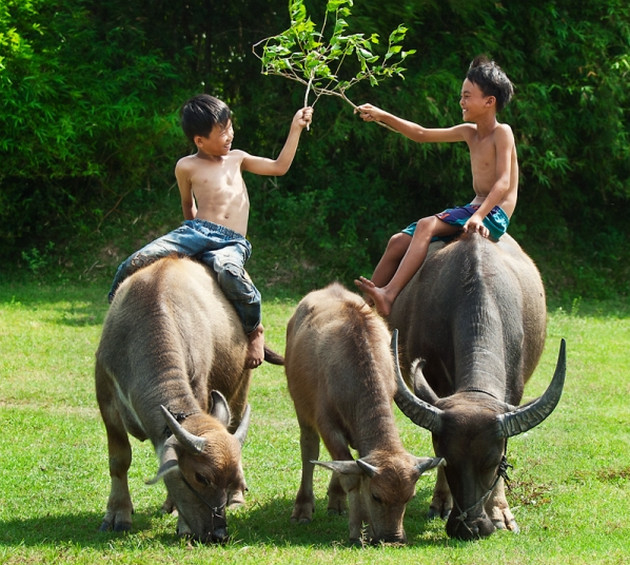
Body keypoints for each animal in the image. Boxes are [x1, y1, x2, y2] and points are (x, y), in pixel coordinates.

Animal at [94, 254, 276, 540]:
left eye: (233, 478)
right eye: (200, 477)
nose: (218, 534)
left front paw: (183, 522)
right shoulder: (106, 399)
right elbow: (119, 460)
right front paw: (117, 514)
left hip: (242, 382)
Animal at [286, 284, 444, 544]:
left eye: (409, 498)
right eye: (376, 496)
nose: (393, 538)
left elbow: (353, 469)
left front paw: (366, 526)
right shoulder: (327, 425)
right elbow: (351, 477)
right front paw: (357, 529)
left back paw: (336, 501)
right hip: (302, 410)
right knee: (309, 450)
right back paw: (303, 508)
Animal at [390, 232, 568, 536]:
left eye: (493, 462)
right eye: (447, 458)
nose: (469, 528)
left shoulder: (513, 394)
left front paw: (500, 513)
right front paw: (441, 502)